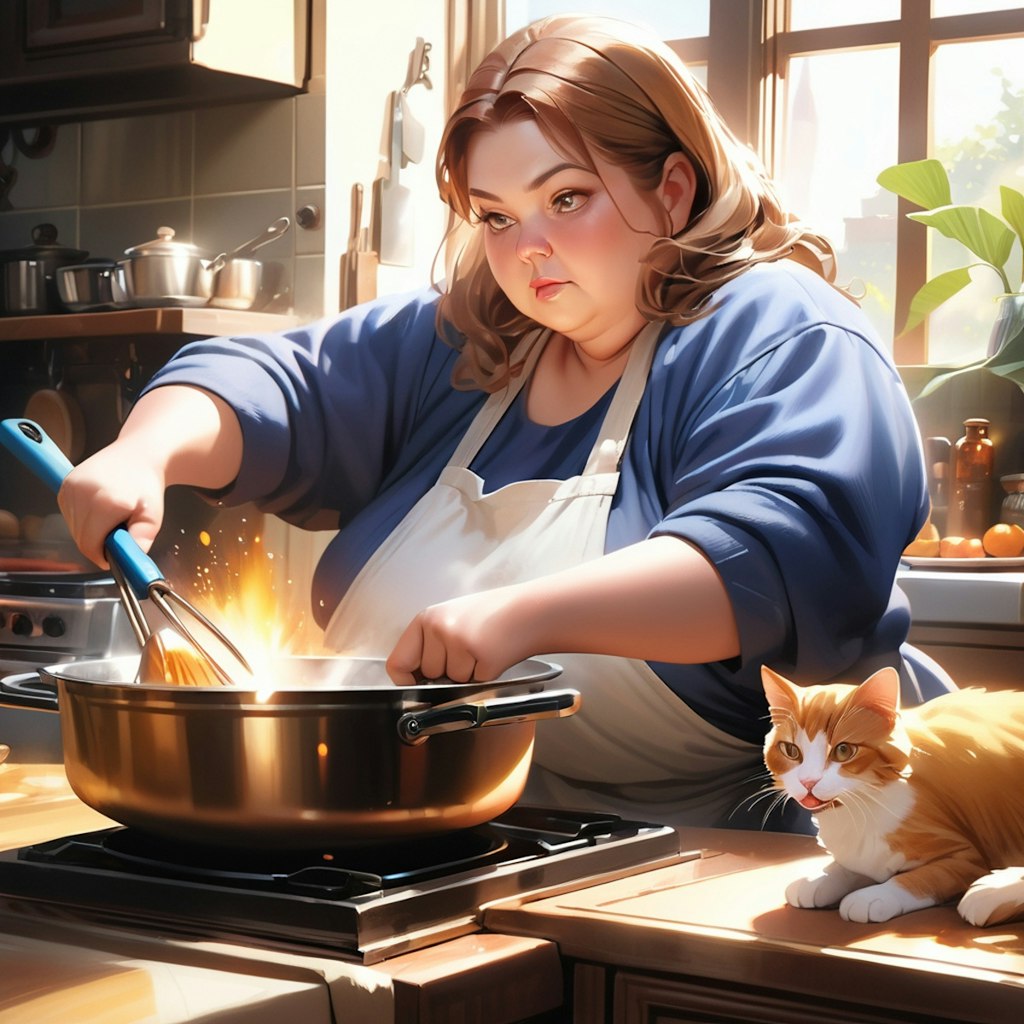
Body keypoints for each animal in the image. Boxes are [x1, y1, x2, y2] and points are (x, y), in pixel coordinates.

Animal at [761, 663, 1024, 929]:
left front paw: (871, 897)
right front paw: (818, 879)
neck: (856, 812)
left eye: (843, 751)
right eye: (791, 751)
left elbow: (916, 879)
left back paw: (990, 893)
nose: (808, 782)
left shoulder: (965, 857)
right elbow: (849, 867)